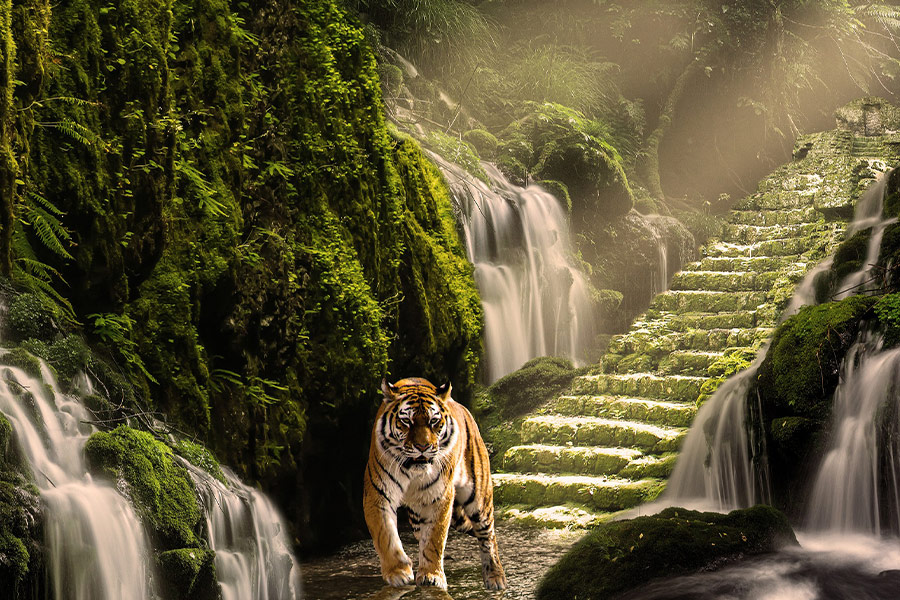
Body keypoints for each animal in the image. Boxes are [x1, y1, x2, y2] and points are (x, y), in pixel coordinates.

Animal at [363, 377, 507, 591]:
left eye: (433, 421)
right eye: (406, 421)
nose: (423, 447)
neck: (412, 471)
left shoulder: (439, 497)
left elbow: (434, 539)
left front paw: (431, 575)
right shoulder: (378, 494)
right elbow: (385, 534)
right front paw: (398, 572)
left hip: (479, 498)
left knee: (488, 536)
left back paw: (495, 577)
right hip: (418, 517)